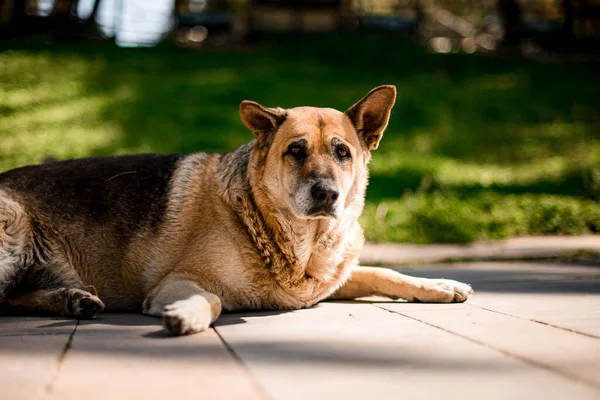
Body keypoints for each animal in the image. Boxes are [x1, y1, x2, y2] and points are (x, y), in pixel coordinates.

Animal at [0, 86, 474, 336]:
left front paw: (439, 284)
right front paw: (189, 314)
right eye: (295, 151)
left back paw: (73, 300)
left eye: (343, 153)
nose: (327, 195)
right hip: (13, 227)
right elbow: (209, 297)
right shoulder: (179, 281)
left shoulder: (331, 281)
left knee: (10, 301)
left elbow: (385, 273)